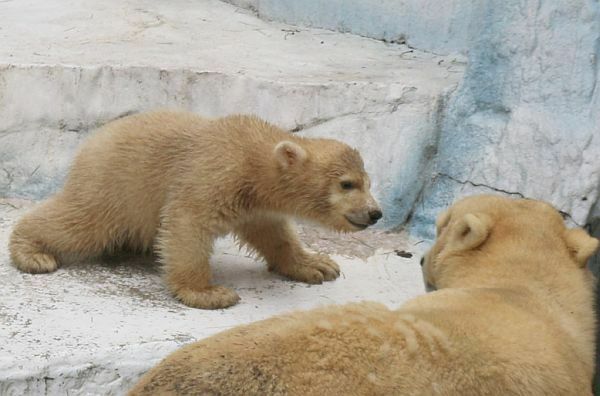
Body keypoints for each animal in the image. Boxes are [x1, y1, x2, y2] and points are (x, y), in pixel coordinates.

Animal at [9, 111, 382, 310]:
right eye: (347, 184)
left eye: (368, 181)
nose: (375, 213)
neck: (253, 157)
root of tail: (91, 142)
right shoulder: (215, 173)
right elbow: (188, 223)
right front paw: (210, 293)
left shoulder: (256, 204)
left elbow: (275, 233)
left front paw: (318, 265)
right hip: (117, 183)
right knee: (82, 222)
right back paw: (32, 252)